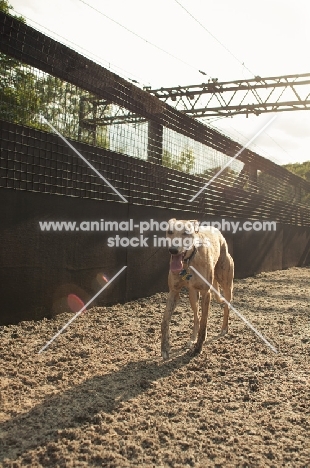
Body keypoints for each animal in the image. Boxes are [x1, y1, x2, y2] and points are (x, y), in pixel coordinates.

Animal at [161, 218, 234, 358]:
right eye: (170, 231)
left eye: (186, 233)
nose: (173, 250)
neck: (188, 262)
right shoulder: (173, 291)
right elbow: (165, 319)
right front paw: (165, 347)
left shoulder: (206, 293)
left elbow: (204, 322)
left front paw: (198, 347)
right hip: (192, 295)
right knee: (196, 317)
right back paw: (192, 339)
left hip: (227, 284)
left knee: (226, 306)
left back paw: (224, 328)